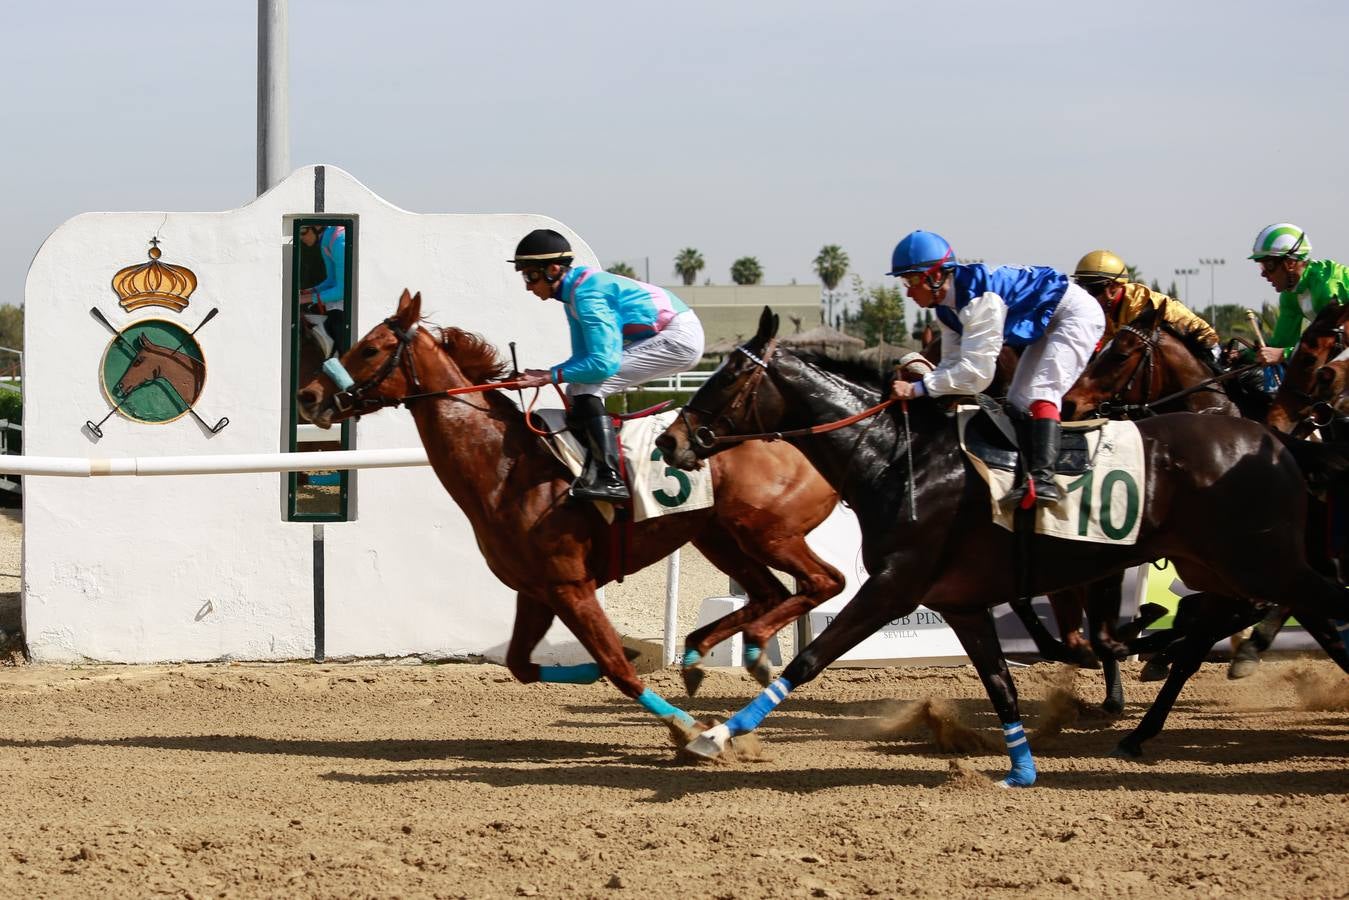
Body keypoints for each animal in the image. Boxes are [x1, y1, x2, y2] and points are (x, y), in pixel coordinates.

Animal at [652, 304, 1349, 782]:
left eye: (727, 378)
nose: (668, 441)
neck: (900, 457)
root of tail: (1277, 440)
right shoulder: (960, 602)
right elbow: (1000, 683)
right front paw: (1020, 768)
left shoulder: (895, 585)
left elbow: (810, 659)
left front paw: (715, 736)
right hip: (1224, 564)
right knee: (1236, 616)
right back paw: (1150, 711)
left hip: (1263, 561)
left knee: (1311, 605)